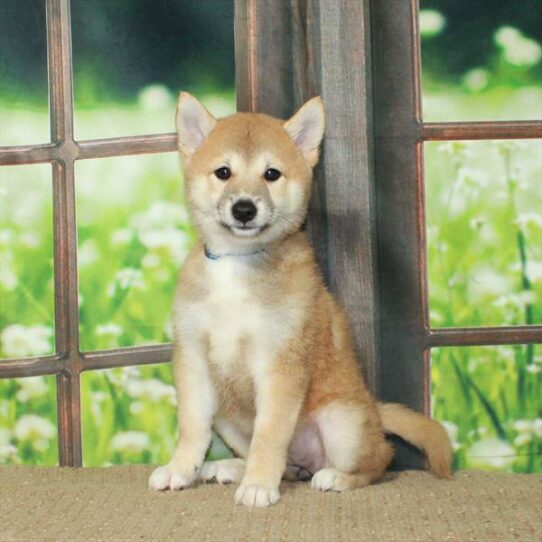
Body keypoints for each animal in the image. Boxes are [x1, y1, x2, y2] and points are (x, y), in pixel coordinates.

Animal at [149, 94, 454, 510]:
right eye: (223, 172)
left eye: (271, 174)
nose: (244, 209)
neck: (237, 264)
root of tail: (374, 411)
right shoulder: (193, 358)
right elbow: (193, 428)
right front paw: (180, 470)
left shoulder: (280, 365)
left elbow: (268, 436)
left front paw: (258, 485)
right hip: (228, 414)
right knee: (287, 465)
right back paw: (233, 466)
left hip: (341, 422)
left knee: (380, 459)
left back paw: (337, 477)